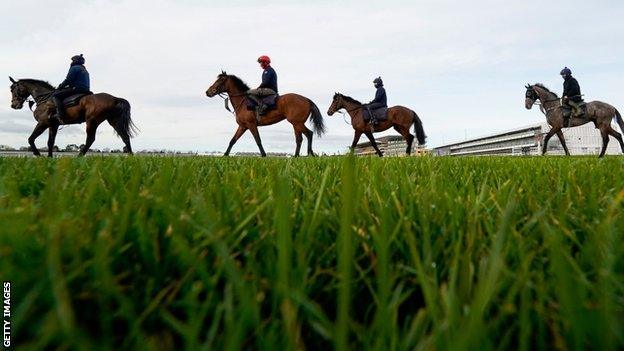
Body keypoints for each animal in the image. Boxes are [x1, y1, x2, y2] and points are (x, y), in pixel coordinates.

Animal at [7, 78, 136, 158]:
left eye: (13, 89)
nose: (14, 105)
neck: (45, 98)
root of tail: (114, 98)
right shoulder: (53, 125)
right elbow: (50, 142)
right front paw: (49, 158)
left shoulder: (43, 123)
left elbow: (31, 139)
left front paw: (38, 155)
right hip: (114, 121)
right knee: (125, 137)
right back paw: (131, 157)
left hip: (92, 121)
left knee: (90, 139)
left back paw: (79, 157)